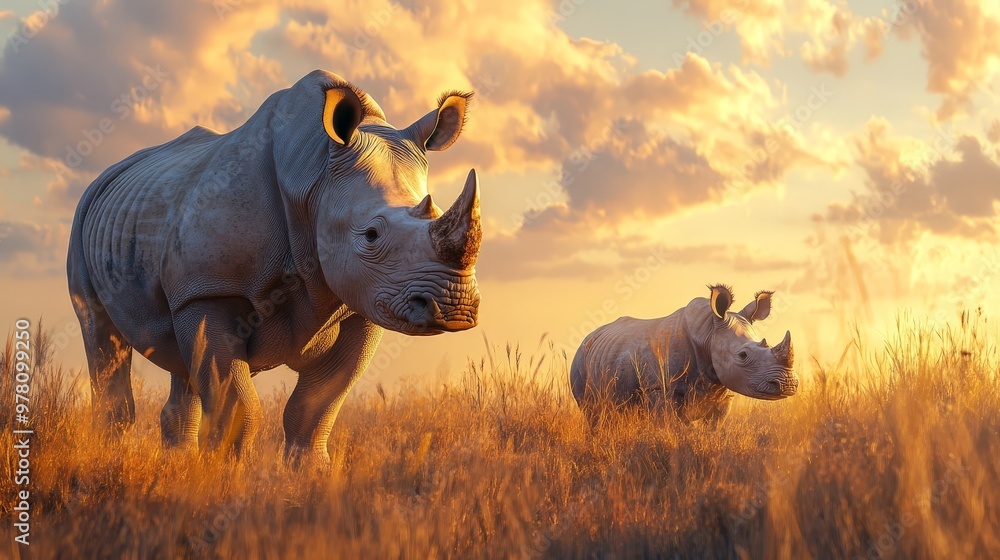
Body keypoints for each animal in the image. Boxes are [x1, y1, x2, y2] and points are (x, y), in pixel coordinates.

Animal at [67, 70, 482, 461]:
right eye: (371, 235)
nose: (455, 308)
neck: (316, 177)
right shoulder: (208, 290)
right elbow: (239, 407)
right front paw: (225, 475)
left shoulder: (360, 304)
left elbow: (314, 410)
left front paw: (309, 474)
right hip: (85, 214)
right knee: (100, 333)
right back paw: (110, 455)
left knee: (183, 362)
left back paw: (177, 462)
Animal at [570, 285, 797, 424]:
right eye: (743, 355)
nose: (787, 384)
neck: (708, 331)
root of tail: (589, 336)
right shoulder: (658, 388)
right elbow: (673, 427)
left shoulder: (723, 391)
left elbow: (712, 428)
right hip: (580, 358)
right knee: (592, 414)